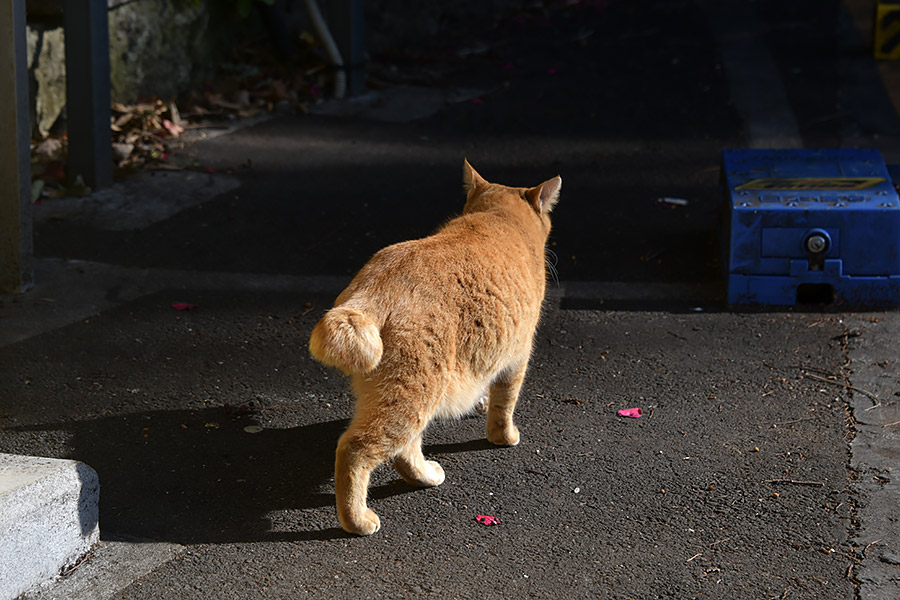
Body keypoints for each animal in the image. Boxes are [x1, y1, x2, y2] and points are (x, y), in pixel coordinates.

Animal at [312, 159, 564, 536]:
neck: (499, 218)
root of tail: (371, 287)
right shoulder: (517, 356)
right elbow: (504, 405)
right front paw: (504, 436)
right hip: (415, 391)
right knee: (356, 448)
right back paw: (358, 520)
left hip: (412, 393)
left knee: (405, 448)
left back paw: (426, 477)